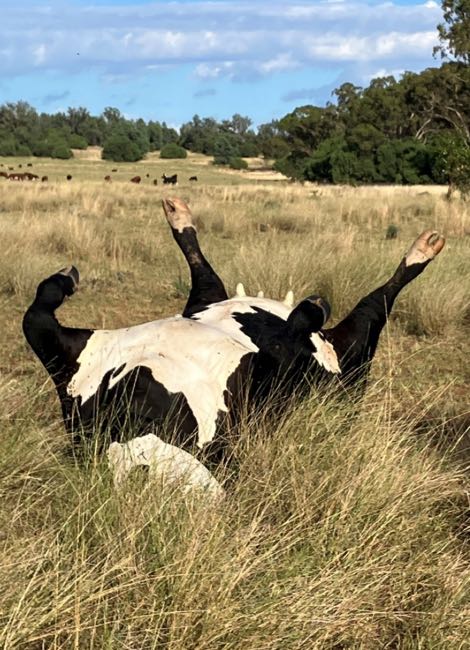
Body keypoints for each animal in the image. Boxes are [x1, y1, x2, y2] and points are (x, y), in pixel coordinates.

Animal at [23, 198, 445, 488]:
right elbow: (292, 336)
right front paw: (311, 309)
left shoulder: (69, 353)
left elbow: (37, 308)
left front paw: (64, 278)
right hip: (352, 357)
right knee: (374, 304)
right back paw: (419, 250)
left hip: (204, 303)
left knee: (206, 275)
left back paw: (179, 215)